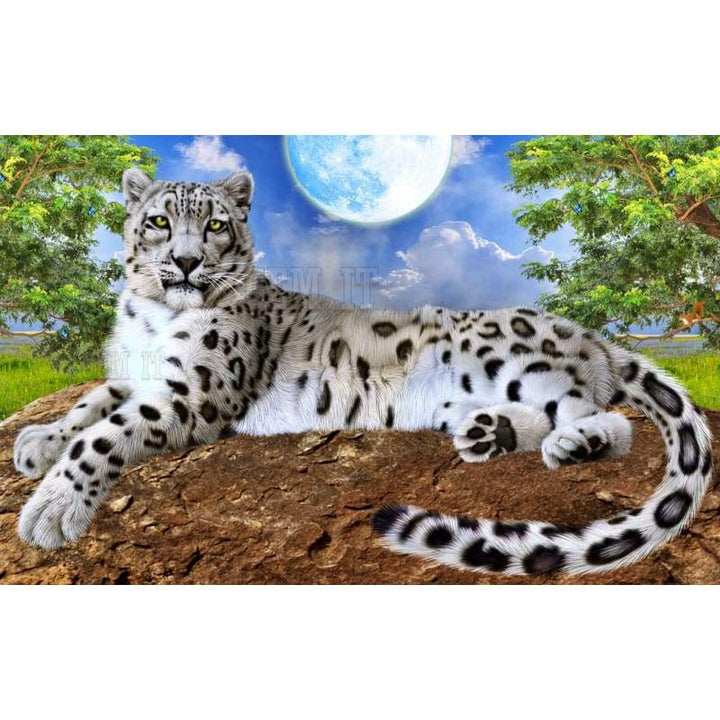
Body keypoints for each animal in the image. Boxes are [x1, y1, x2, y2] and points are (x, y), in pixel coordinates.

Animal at [13, 168, 714, 576]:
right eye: (159, 221)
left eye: (214, 225)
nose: (186, 263)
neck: (155, 318)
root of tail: (589, 335)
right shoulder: (137, 375)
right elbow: (91, 402)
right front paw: (36, 442)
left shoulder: (199, 391)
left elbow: (108, 430)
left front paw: (51, 507)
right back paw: (490, 433)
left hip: (515, 359)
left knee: (605, 417)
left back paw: (576, 441)